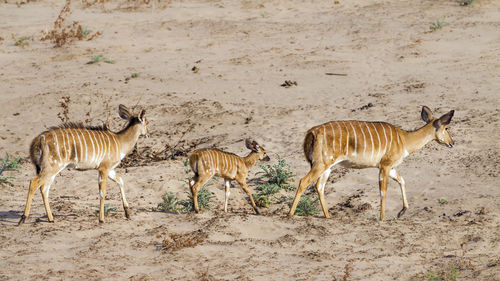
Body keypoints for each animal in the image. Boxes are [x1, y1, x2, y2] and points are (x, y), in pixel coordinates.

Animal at [18, 104, 150, 224]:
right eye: (146, 122)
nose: (148, 134)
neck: (119, 140)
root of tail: (38, 140)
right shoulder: (104, 168)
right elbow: (103, 192)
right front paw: (101, 219)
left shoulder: (109, 170)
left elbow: (120, 181)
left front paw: (128, 213)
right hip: (52, 167)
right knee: (34, 183)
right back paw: (23, 219)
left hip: (51, 170)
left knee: (44, 188)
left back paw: (51, 219)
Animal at [288, 105, 456, 219]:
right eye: (447, 128)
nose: (452, 143)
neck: (404, 139)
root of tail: (312, 132)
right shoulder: (385, 166)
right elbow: (383, 192)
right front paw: (383, 218)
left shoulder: (390, 167)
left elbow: (402, 180)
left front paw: (402, 212)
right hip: (321, 163)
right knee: (304, 181)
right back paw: (290, 214)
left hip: (327, 166)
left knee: (319, 186)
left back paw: (328, 216)